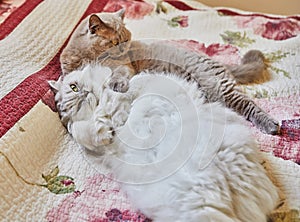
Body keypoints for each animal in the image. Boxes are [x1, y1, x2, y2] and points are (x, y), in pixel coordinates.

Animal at [49, 64, 278, 222]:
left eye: (73, 86)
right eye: (77, 105)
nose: (84, 95)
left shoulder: (141, 81)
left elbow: (128, 85)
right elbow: (85, 132)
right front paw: (103, 129)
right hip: (197, 206)